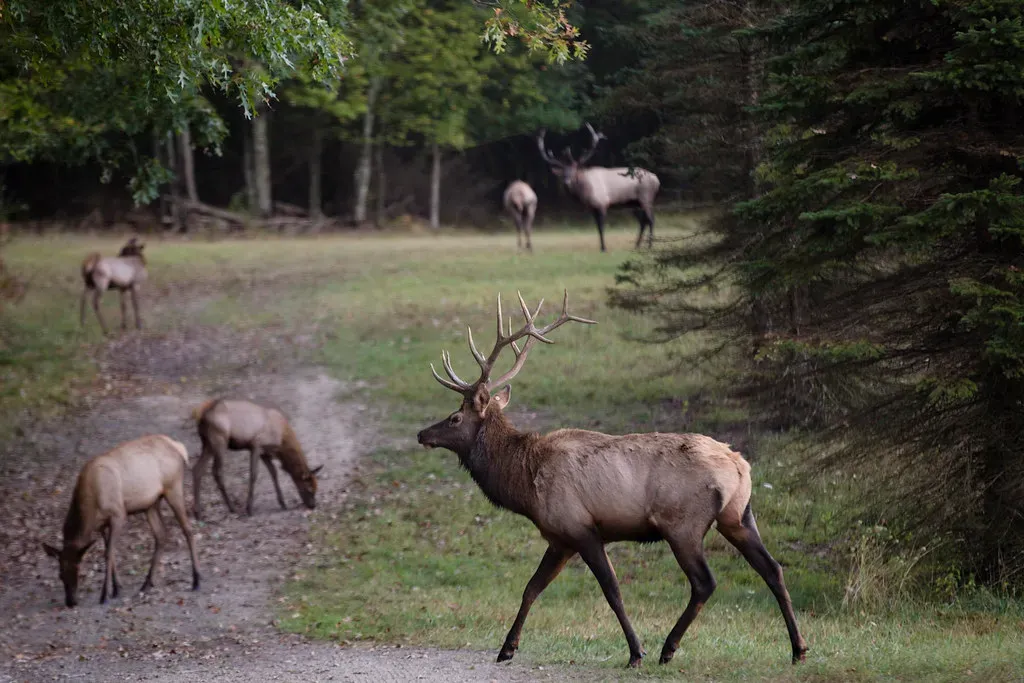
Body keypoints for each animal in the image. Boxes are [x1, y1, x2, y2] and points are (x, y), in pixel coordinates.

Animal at [42, 435, 201, 608]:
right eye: (60, 574)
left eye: (78, 569)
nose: (70, 601)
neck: (91, 505)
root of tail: (178, 447)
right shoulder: (101, 525)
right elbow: (109, 552)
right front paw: (117, 589)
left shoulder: (118, 514)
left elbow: (108, 554)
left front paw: (105, 595)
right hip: (151, 504)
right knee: (161, 535)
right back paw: (146, 584)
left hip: (173, 487)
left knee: (188, 529)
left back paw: (196, 580)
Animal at [191, 398, 324, 520]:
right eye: (309, 489)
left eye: (317, 488)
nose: (313, 505)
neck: (281, 443)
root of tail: (201, 418)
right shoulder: (256, 445)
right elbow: (254, 474)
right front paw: (249, 508)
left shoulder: (265, 453)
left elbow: (274, 473)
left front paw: (282, 503)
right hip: (219, 440)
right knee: (217, 471)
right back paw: (232, 508)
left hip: (207, 444)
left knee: (197, 469)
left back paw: (198, 513)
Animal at [416, 290, 808, 668]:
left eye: (454, 417)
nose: (422, 434)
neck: (525, 483)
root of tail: (741, 466)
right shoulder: (560, 538)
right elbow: (531, 588)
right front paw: (507, 649)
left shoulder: (581, 529)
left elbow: (612, 591)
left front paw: (636, 652)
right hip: (738, 515)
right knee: (773, 569)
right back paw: (798, 649)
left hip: (683, 524)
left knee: (705, 582)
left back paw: (668, 648)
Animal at [537, 123, 660, 253]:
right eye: (562, 173)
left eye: (574, 171)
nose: (566, 182)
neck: (585, 192)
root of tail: (656, 180)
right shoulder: (593, 208)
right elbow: (597, 227)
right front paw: (601, 247)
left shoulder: (602, 203)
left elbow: (601, 227)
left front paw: (604, 248)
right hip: (634, 203)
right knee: (643, 221)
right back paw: (637, 245)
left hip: (646, 197)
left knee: (651, 219)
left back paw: (650, 246)